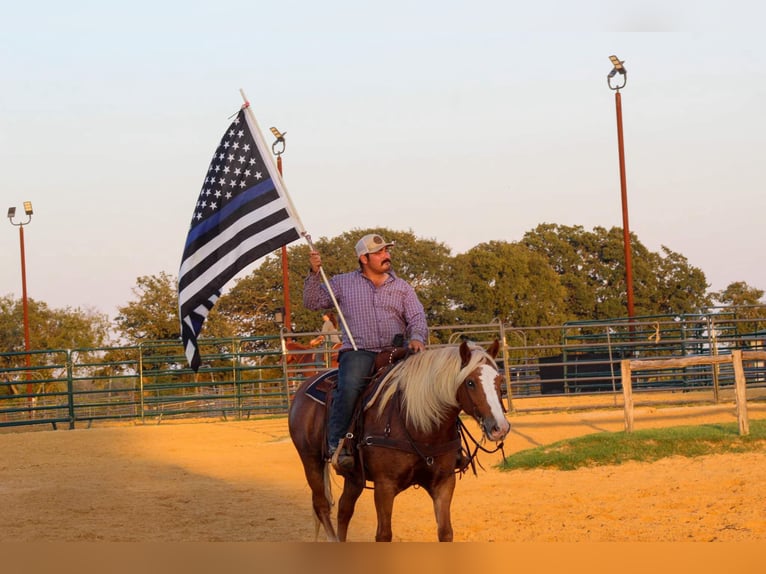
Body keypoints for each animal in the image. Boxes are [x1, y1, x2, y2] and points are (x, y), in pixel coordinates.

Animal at [288, 342, 510, 544]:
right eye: (470, 382)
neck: (418, 424)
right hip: (311, 460)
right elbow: (384, 535)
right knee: (322, 505)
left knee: (344, 509)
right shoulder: (384, 486)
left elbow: (445, 532)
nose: (500, 427)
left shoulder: (444, 482)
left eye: (499, 380)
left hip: (354, 476)